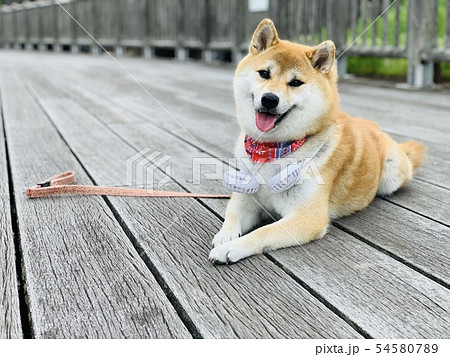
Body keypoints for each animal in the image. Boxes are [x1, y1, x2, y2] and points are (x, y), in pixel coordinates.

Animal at [207, 19, 426, 264]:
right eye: (264, 73)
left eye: (295, 82)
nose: (269, 99)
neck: (271, 150)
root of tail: (373, 125)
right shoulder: (247, 196)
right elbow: (233, 214)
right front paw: (225, 236)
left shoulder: (307, 217)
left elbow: (261, 233)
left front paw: (231, 248)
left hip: (391, 174)